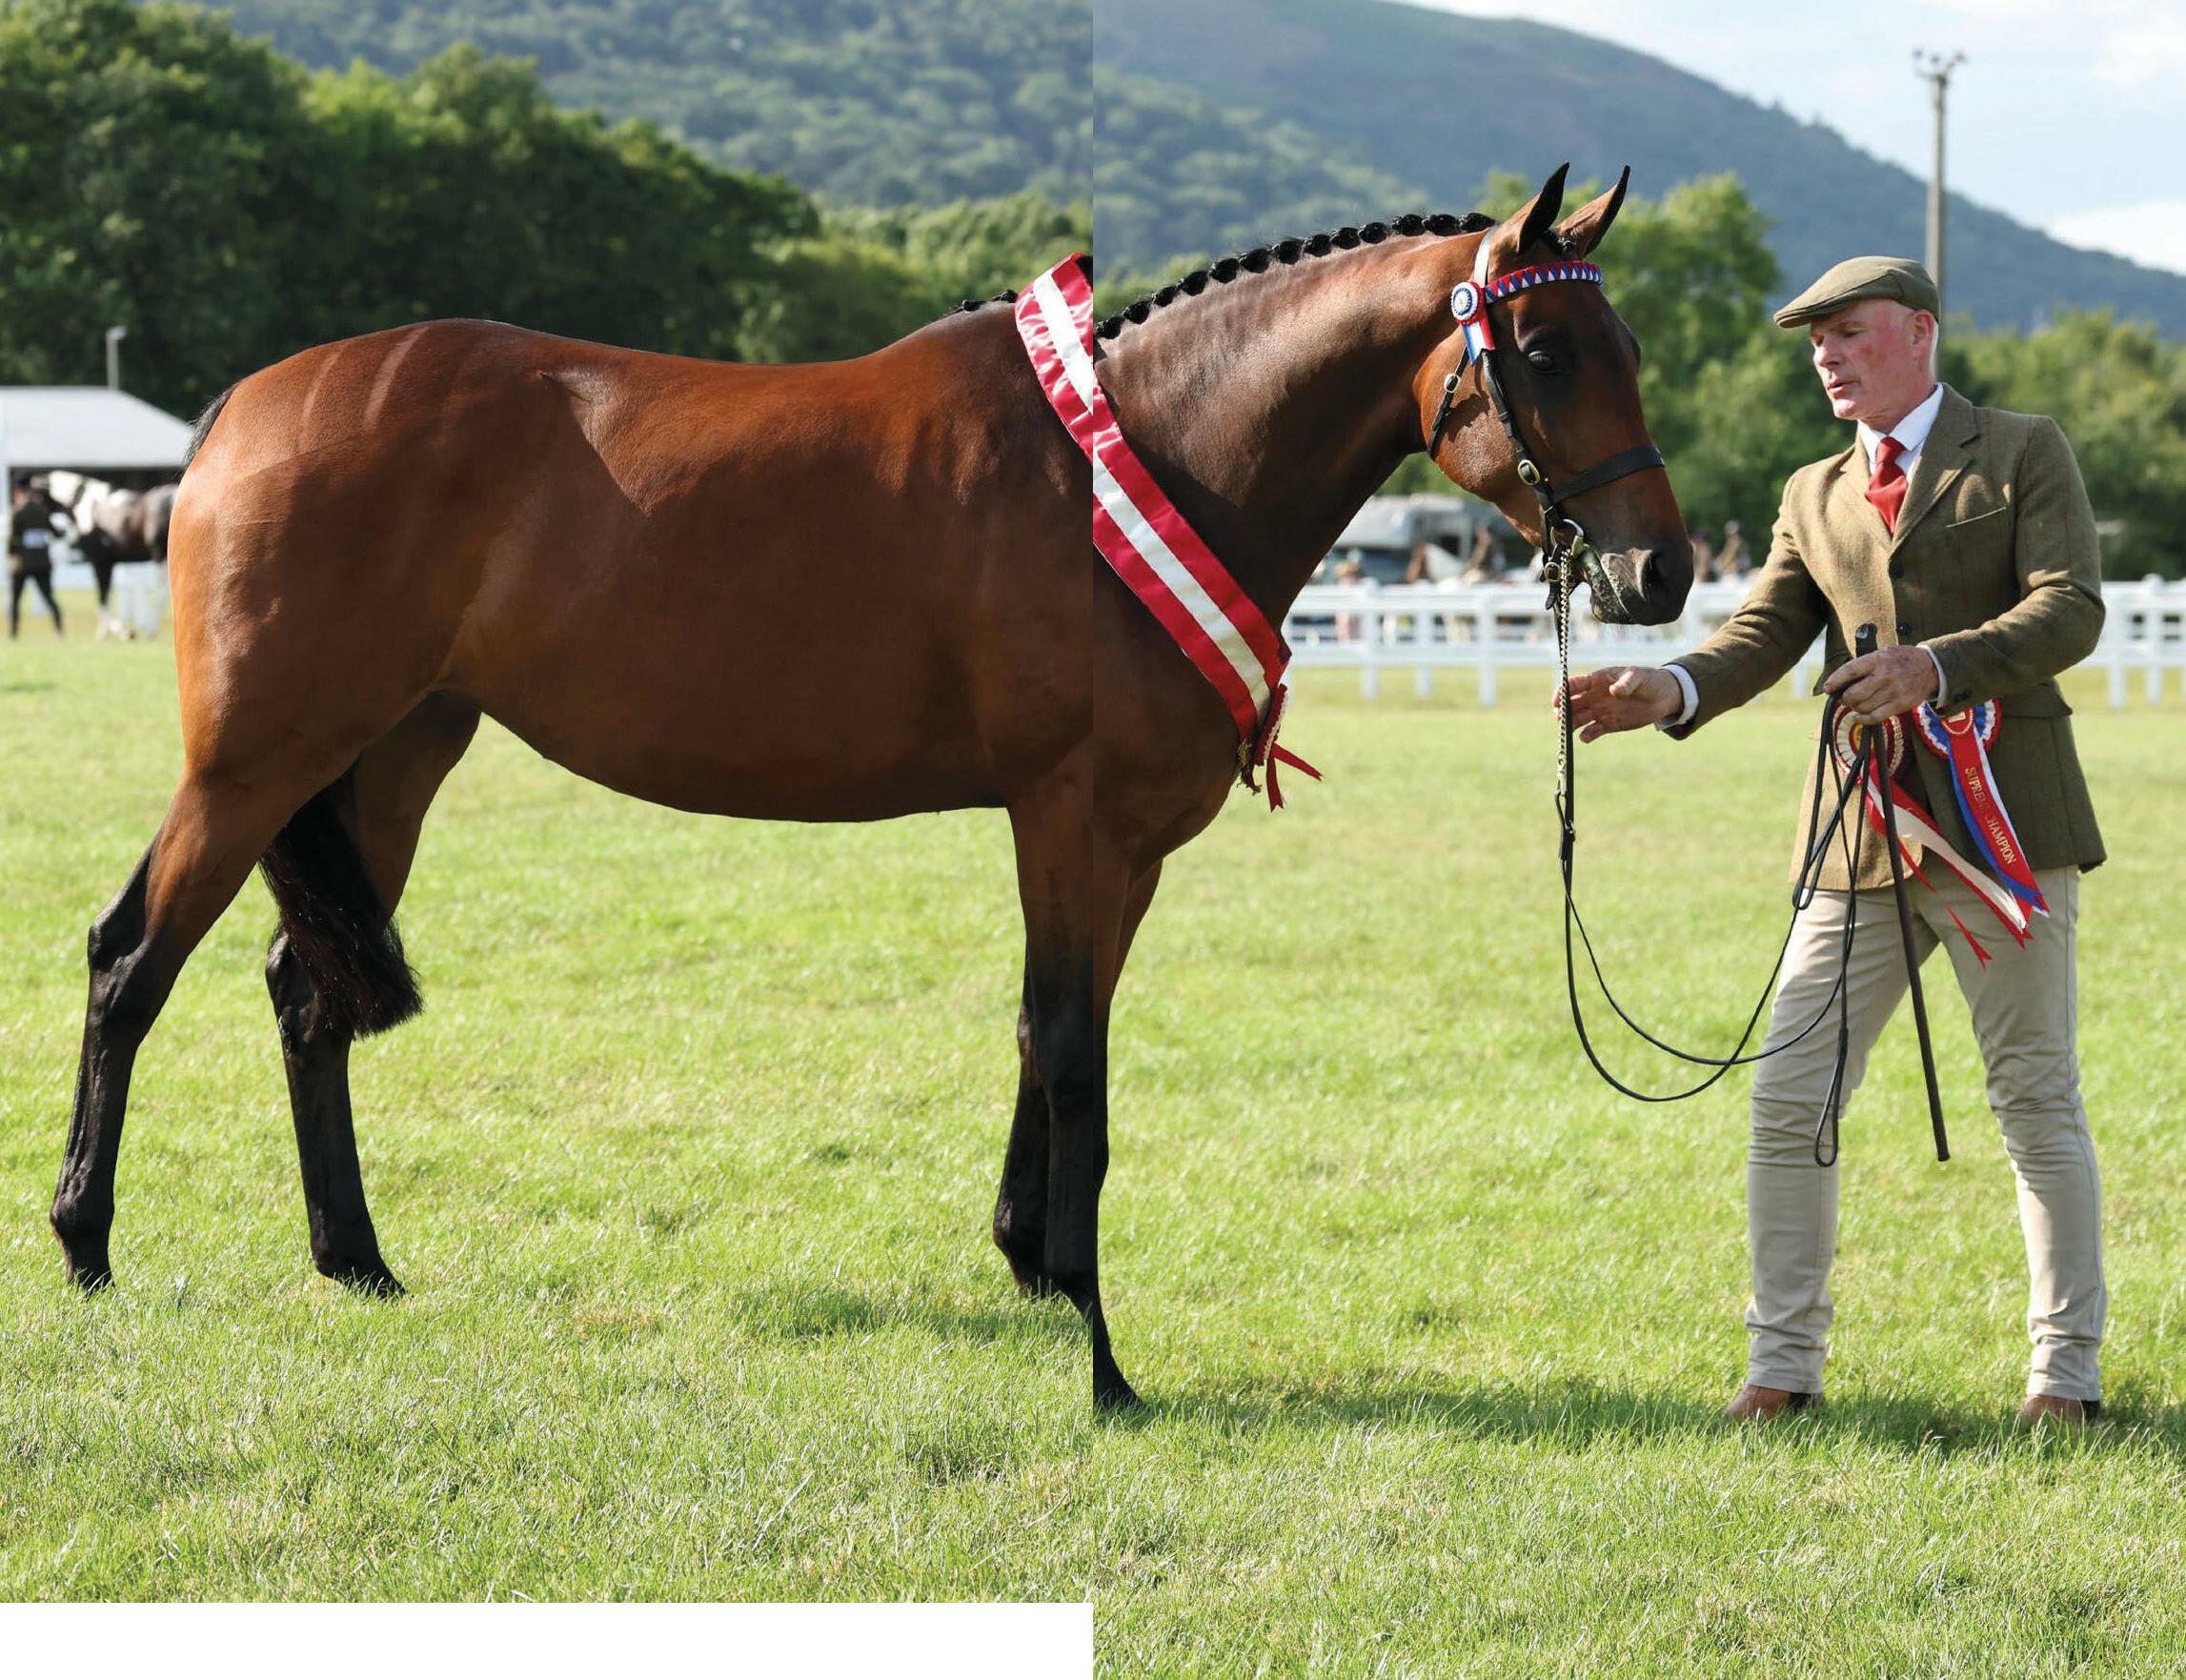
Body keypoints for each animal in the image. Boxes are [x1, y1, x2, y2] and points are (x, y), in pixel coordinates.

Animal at [51, 165, 1690, 1409]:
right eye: (1545, 354)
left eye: (1619, 347)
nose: (1660, 572)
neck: (1144, 462)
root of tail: (243, 410)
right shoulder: (1069, 816)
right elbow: (1071, 1049)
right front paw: (1097, 1342)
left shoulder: (1127, 846)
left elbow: (1051, 1033)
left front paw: (1030, 1261)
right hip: (256, 757)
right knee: (132, 959)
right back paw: (86, 1240)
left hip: (392, 755)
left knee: (300, 988)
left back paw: (357, 1259)